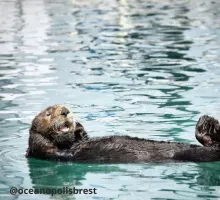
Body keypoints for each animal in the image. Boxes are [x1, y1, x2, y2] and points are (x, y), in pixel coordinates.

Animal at [25, 104, 220, 162]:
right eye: (48, 114)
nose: (66, 111)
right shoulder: (48, 151)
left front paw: (79, 128)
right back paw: (208, 126)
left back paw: (208, 123)